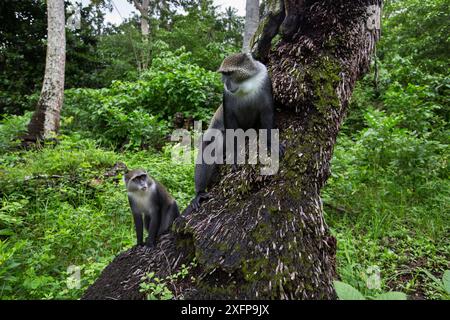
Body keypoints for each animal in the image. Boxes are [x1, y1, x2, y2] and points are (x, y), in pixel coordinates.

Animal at [190, 53, 278, 210]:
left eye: (230, 73)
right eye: (224, 74)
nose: (225, 82)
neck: (247, 83)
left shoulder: (264, 79)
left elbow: (267, 113)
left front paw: (271, 143)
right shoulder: (227, 96)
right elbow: (230, 121)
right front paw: (235, 157)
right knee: (213, 139)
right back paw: (199, 192)